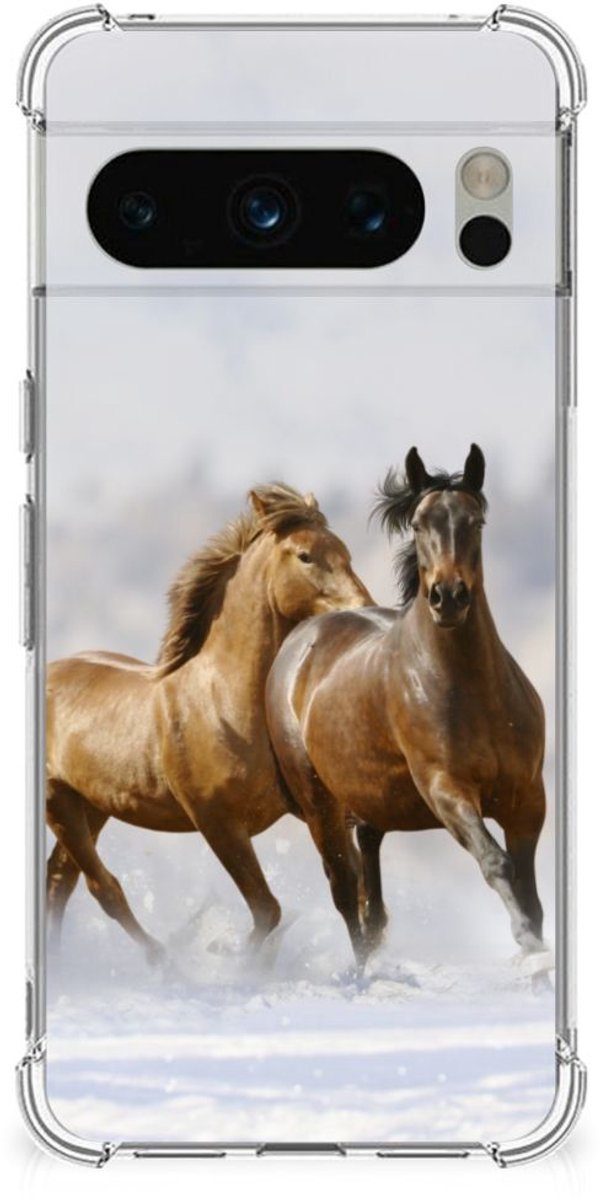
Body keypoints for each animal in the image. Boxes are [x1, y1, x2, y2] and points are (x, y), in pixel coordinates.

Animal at [46, 483, 373, 961]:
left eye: (346, 551)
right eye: (305, 556)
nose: (364, 609)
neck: (224, 704)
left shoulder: (315, 809)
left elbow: (349, 887)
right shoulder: (217, 823)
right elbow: (267, 910)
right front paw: (231, 960)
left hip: (92, 805)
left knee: (59, 881)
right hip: (59, 802)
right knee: (101, 887)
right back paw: (163, 961)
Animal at [266, 446, 547, 969]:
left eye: (476, 521)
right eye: (418, 524)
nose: (448, 597)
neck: (472, 691)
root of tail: (299, 640)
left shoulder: (527, 798)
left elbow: (529, 889)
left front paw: (537, 948)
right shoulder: (446, 790)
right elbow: (496, 862)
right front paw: (528, 945)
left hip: (369, 802)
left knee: (370, 893)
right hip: (320, 806)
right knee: (345, 891)